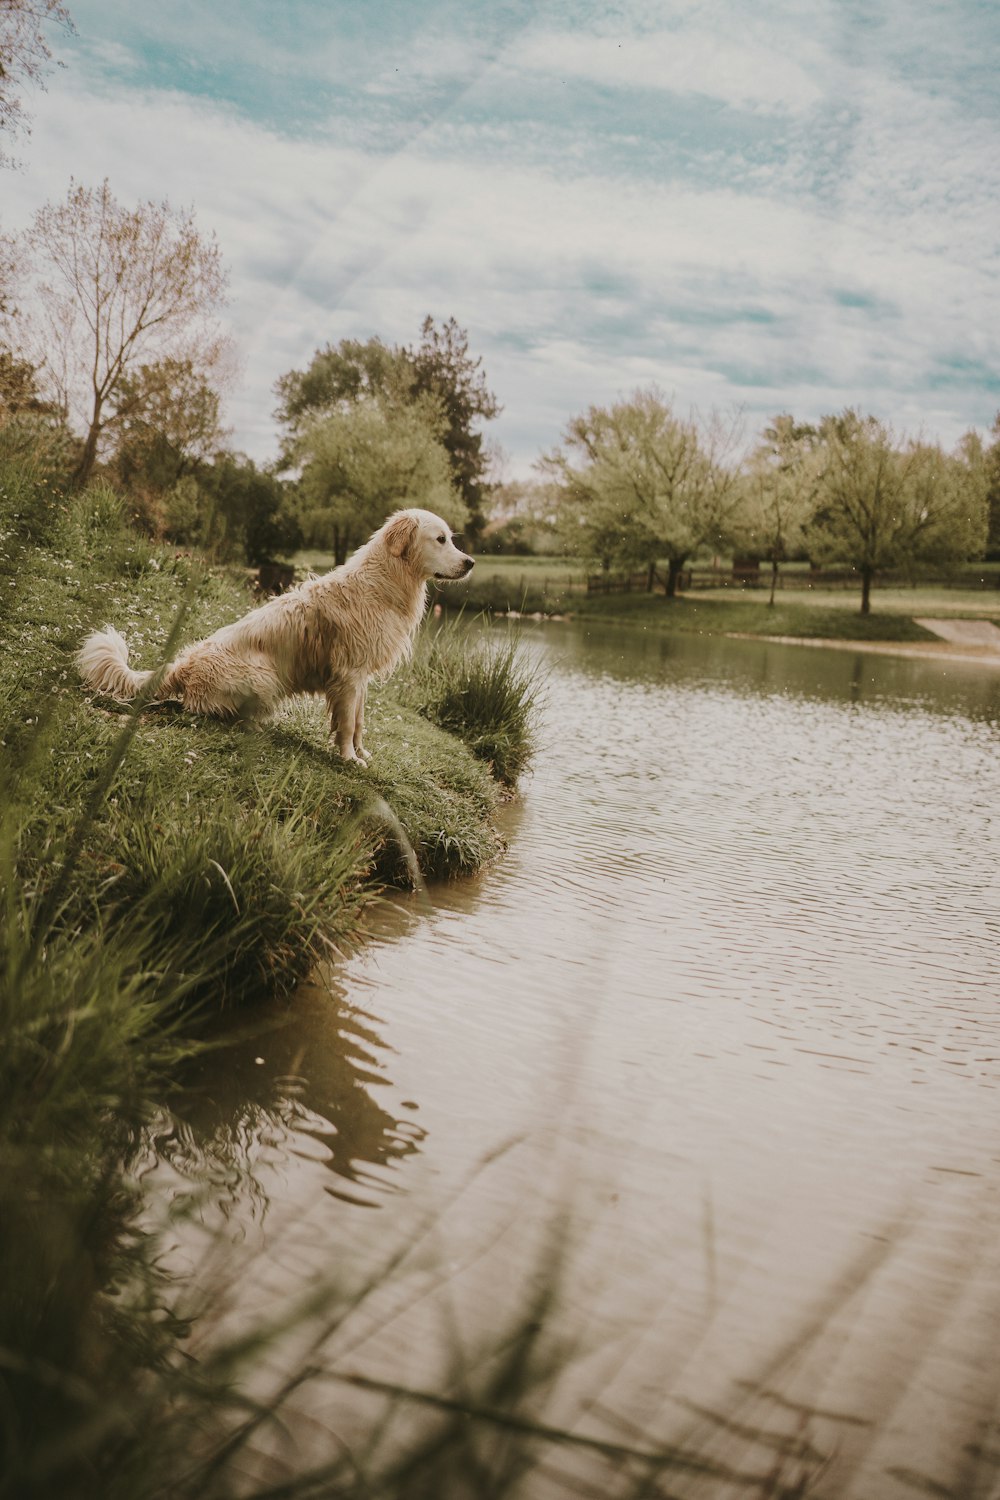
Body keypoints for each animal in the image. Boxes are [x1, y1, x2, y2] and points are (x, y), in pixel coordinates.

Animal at [76, 510, 476, 762]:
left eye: (451, 540)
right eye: (441, 539)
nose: (471, 562)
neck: (384, 582)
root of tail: (183, 666)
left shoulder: (360, 677)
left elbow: (359, 722)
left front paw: (361, 752)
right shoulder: (348, 675)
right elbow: (347, 724)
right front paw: (349, 758)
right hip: (264, 675)